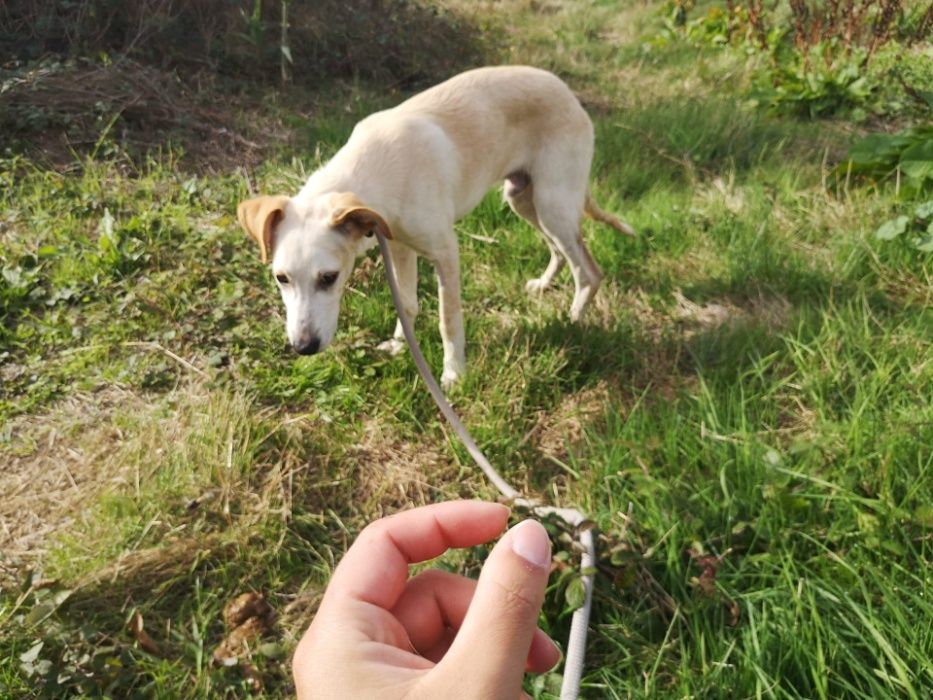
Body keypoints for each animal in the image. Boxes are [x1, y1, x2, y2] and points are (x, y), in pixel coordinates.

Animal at [237, 65, 636, 388]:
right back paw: (543, 284)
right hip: (525, 200)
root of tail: (568, 93)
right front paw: (400, 346)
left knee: (589, 270)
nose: (303, 347)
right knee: (558, 250)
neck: (377, 169)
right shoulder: (398, 246)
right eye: (281, 278)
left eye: (329, 278)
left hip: (553, 205)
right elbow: (407, 303)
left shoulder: (446, 253)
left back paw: (574, 320)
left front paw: (454, 374)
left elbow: (448, 319)